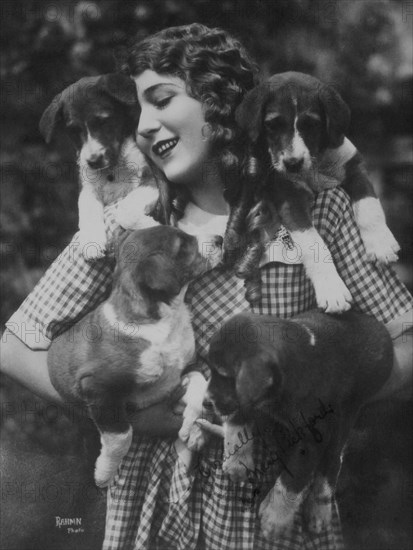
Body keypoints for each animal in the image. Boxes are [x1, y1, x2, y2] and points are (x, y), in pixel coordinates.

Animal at [40, 74, 159, 264]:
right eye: (74, 131)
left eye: (103, 121)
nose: (94, 161)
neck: (114, 165)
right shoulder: (88, 186)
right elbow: (86, 210)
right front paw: (91, 242)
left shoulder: (152, 176)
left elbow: (125, 209)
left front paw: (150, 226)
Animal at [48, 226, 206, 490]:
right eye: (183, 245)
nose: (220, 239)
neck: (164, 319)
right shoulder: (99, 388)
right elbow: (122, 436)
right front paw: (104, 474)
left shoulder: (181, 370)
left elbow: (199, 382)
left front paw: (191, 428)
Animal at [208, 312, 392, 540]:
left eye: (224, 375)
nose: (206, 401)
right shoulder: (246, 398)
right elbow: (238, 419)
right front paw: (236, 461)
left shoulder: (312, 439)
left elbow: (292, 480)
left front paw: (275, 518)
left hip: (344, 422)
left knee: (329, 469)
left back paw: (318, 511)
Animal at [235, 73, 400, 312]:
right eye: (272, 125)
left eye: (311, 125)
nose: (292, 163)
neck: (315, 167)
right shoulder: (291, 200)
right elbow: (314, 245)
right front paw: (332, 290)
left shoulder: (354, 168)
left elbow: (369, 206)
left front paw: (380, 243)